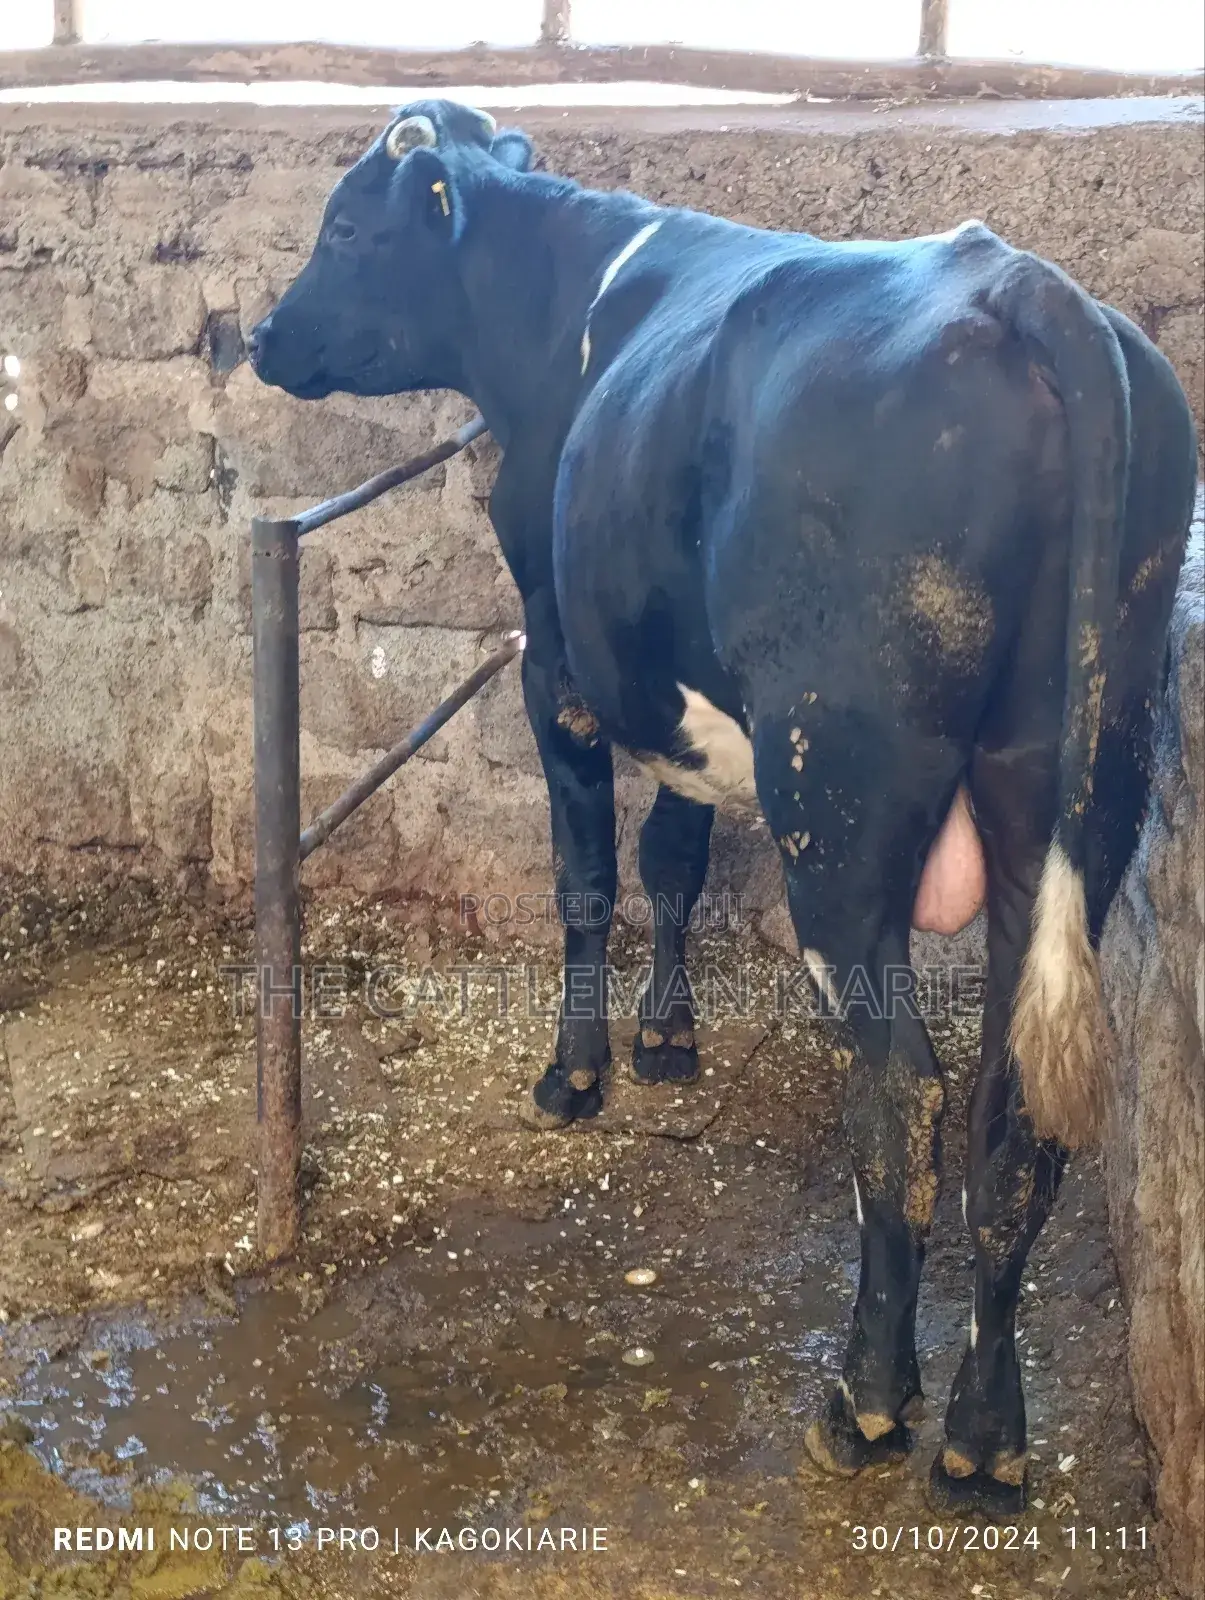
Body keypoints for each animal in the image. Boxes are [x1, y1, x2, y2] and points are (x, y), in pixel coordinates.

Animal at [248, 100, 1198, 1518]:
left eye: (348, 226)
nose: (259, 335)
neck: (558, 308)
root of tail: (1035, 296)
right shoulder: (667, 685)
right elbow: (676, 849)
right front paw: (666, 1038)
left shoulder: (558, 660)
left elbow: (591, 868)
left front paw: (576, 1072)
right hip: (1073, 781)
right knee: (1008, 1114)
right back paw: (981, 1439)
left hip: (836, 796)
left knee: (898, 1092)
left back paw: (864, 1402)